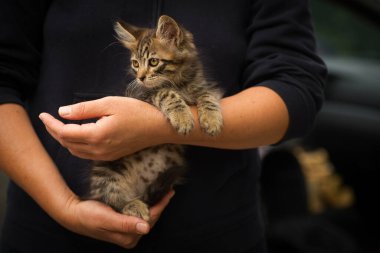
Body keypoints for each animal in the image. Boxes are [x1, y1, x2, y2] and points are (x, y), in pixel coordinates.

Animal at [87, 15, 223, 221]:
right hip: (107, 170)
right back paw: (133, 206)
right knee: (111, 199)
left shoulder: (204, 87)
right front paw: (182, 118)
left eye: (153, 62)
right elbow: (166, 93)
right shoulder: (142, 95)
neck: (180, 82)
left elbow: (207, 96)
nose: (141, 77)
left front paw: (212, 119)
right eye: (135, 64)